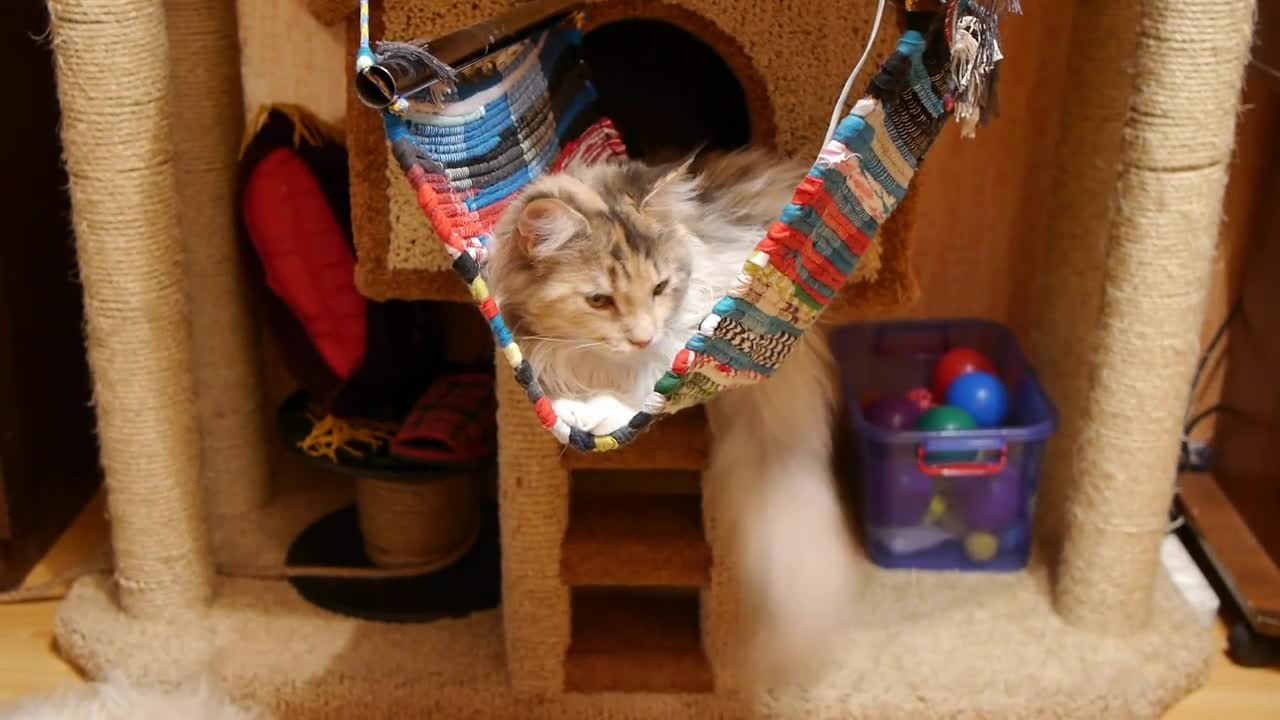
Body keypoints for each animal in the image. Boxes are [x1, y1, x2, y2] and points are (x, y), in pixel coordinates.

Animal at [486, 147, 860, 681]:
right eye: (599, 299)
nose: (642, 336)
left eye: (660, 287)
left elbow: (639, 389)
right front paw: (573, 411)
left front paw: (601, 413)